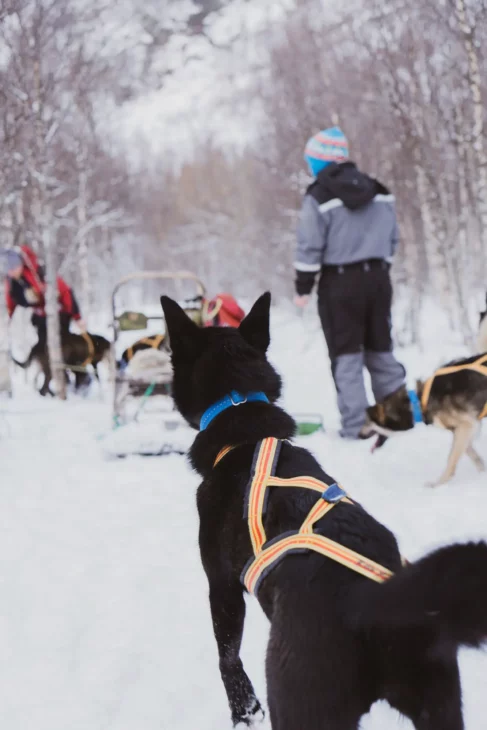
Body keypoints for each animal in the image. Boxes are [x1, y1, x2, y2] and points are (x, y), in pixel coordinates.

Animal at [160, 292, 487, 728]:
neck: (241, 427)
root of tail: (375, 599)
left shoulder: (222, 585)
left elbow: (227, 657)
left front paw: (244, 709)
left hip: (300, 697)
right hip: (438, 703)